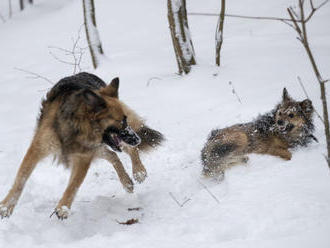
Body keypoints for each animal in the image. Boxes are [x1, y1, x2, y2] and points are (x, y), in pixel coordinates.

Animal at [0, 71, 164, 219]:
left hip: (104, 147)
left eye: (125, 120)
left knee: (129, 150)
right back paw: (126, 181)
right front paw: (6, 206)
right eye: (121, 121)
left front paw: (63, 208)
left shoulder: (83, 158)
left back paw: (138, 171)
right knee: (113, 155)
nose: (138, 139)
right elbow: (20, 180)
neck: (77, 126)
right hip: (101, 148)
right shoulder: (37, 150)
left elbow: (74, 185)